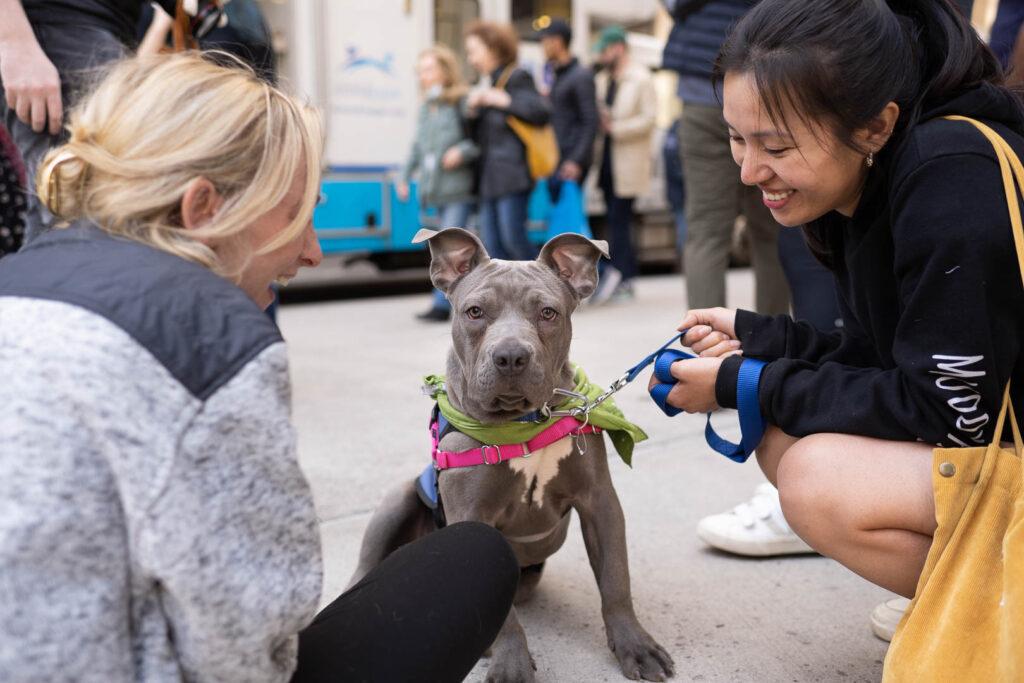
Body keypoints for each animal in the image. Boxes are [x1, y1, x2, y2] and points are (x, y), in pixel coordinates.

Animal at [348, 229, 675, 683]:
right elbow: (504, 618)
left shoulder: (599, 502)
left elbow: (615, 579)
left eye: (548, 313)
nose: (511, 356)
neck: (524, 421)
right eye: (475, 312)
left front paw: (635, 646)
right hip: (398, 498)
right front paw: (511, 662)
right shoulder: (473, 519)